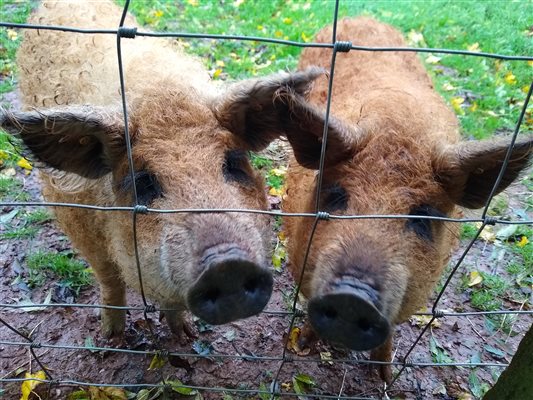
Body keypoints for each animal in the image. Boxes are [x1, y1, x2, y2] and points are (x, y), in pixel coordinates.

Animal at [0, 0, 328, 340]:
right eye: (143, 182)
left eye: (233, 162)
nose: (227, 266)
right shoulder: (76, 221)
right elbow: (109, 279)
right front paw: (111, 337)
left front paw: (186, 335)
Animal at [280, 17, 528, 382]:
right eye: (336, 196)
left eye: (424, 216)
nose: (352, 296)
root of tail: (362, 16)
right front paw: (303, 346)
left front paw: (385, 377)